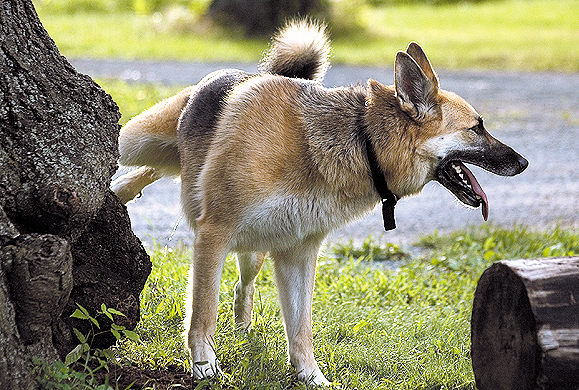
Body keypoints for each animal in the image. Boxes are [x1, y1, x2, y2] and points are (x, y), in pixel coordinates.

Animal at [111, 19, 528, 386]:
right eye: (477, 128)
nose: (523, 163)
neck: (361, 141)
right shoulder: (213, 235)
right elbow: (202, 314)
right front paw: (204, 368)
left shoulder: (297, 253)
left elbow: (300, 329)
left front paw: (310, 377)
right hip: (139, 141)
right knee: (135, 160)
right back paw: (117, 188)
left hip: (255, 248)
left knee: (242, 288)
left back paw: (243, 330)